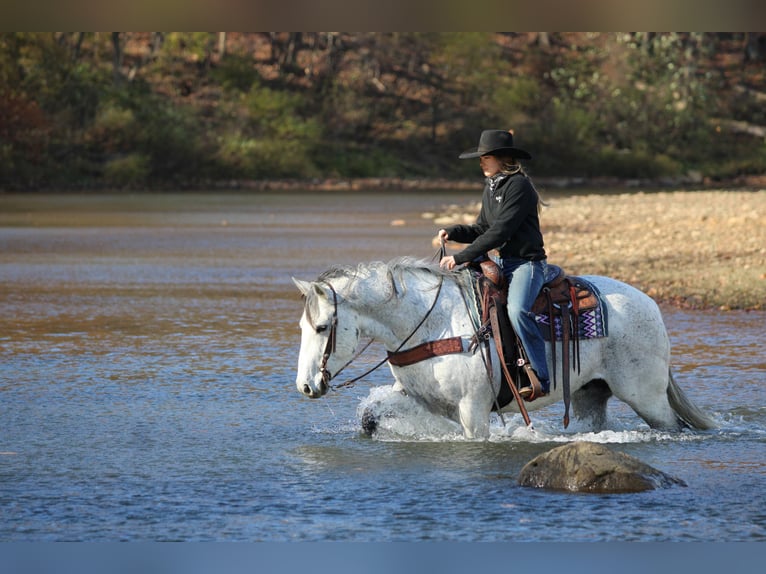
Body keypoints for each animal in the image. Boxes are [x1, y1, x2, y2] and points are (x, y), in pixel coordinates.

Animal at [292, 257, 716, 439]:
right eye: (302, 327)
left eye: (322, 326)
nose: (306, 386)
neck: (433, 322)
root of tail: (651, 306)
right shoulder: (418, 396)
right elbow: (373, 415)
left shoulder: (473, 408)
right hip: (591, 394)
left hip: (646, 398)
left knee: (671, 425)